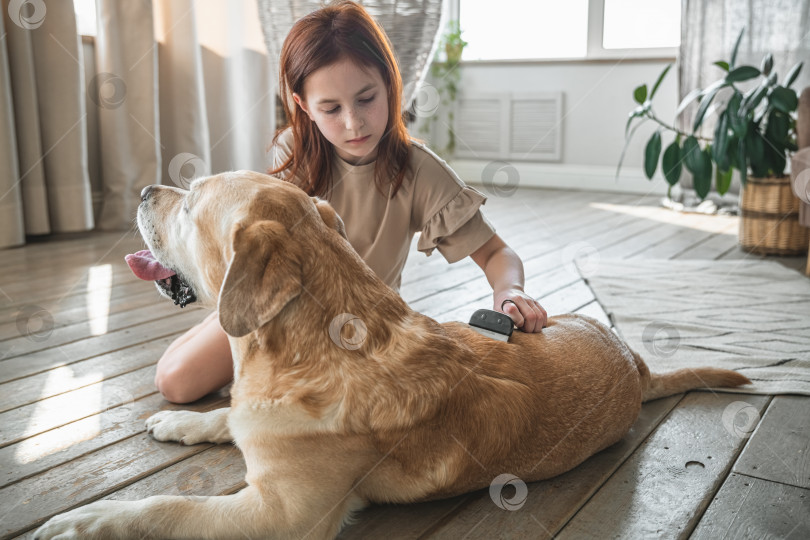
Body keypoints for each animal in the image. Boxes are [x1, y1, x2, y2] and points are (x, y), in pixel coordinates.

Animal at [34, 172, 748, 540]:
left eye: (190, 201)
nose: (146, 189)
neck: (298, 353)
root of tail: (635, 361)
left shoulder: (279, 516)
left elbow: (169, 508)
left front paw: (92, 519)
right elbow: (224, 418)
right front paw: (185, 422)